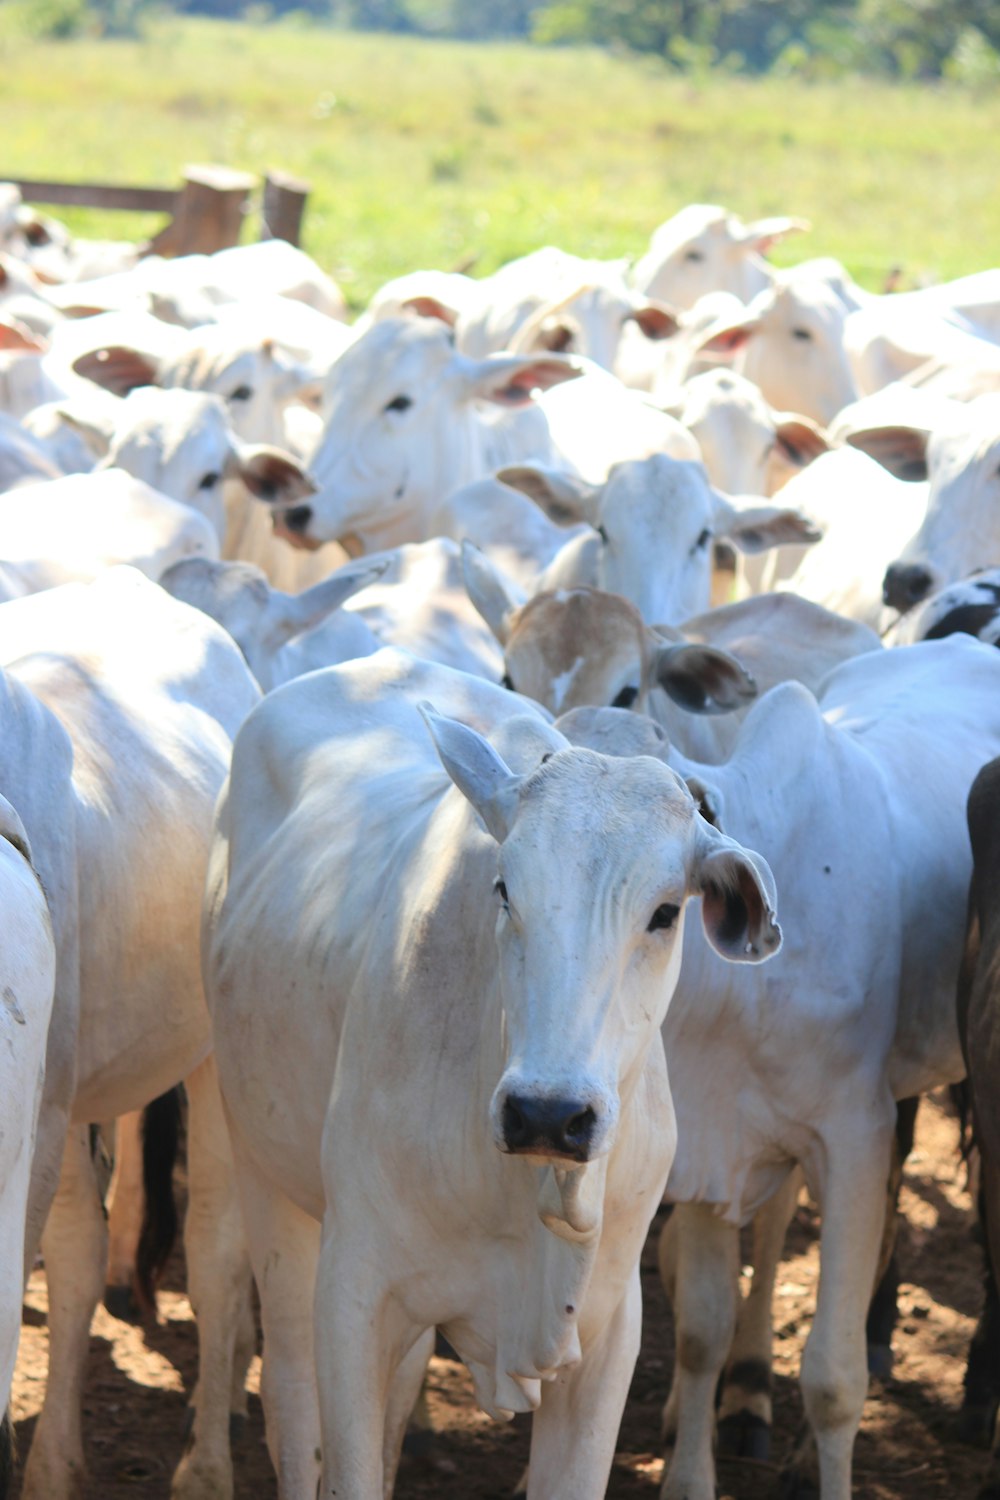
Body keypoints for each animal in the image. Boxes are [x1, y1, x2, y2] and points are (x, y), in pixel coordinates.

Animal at [205, 645, 779, 1500]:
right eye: (506, 888)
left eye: (665, 912)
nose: (548, 1113)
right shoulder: (354, 1294)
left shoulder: (610, 1334)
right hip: (261, 1170)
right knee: (291, 1405)